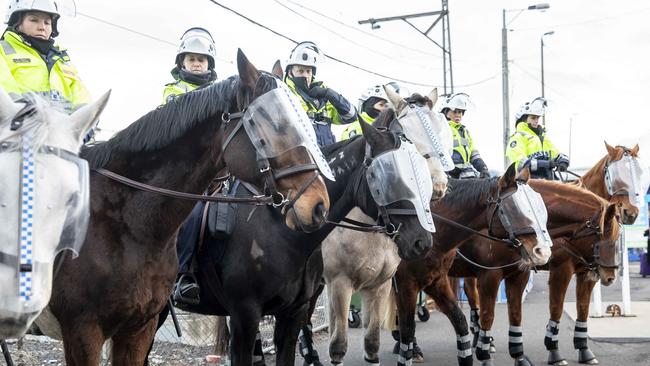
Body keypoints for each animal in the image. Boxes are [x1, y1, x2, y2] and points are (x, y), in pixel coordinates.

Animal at [390, 166, 552, 366]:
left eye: (540, 206)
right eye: (514, 209)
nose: (543, 251)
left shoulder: (518, 276)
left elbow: (515, 314)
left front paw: (518, 356)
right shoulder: (489, 276)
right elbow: (488, 315)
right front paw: (484, 354)